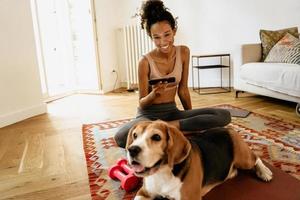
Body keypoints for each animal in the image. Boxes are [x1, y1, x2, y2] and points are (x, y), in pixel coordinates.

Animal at [125, 119, 274, 199]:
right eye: (135, 135)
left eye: (156, 137)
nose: (132, 150)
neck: (162, 172)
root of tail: (228, 129)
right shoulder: (143, 192)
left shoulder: (190, 198)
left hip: (243, 158)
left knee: (256, 158)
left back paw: (265, 172)